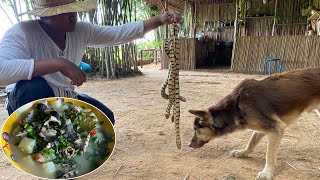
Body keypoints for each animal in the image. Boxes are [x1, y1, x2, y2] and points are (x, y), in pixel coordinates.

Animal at [189, 67, 318, 180]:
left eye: (196, 129)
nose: (189, 145)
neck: (235, 107)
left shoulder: (277, 128)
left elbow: (269, 155)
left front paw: (267, 172)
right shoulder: (264, 128)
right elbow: (252, 141)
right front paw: (242, 153)